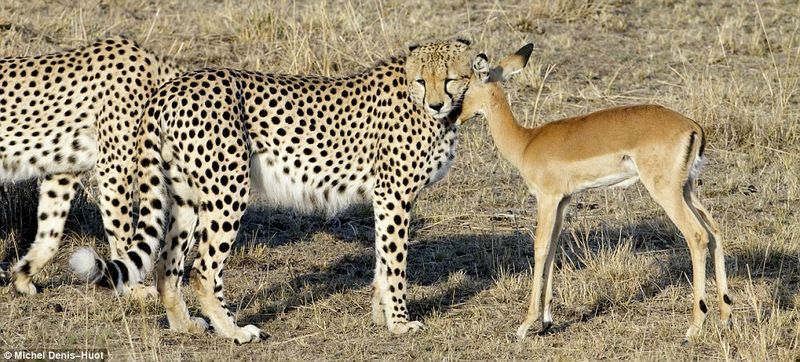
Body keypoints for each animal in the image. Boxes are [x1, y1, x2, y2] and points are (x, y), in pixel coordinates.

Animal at [2, 36, 180, 296]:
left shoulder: (63, 171)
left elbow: (50, 232)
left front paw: (23, 277)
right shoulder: (113, 167)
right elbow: (123, 232)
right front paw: (133, 287)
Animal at [70, 38, 476, 344]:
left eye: (450, 79)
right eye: (422, 81)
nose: (436, 103)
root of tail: (172, 86)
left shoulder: (386, 197)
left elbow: (382, 259)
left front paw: (381, 315)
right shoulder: (394, 193)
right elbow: (394, 260)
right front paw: (400, 322)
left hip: (186, 196)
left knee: (167, 265)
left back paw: (186, 325)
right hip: (228, 188)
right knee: (202, 269)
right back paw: (234, 331)